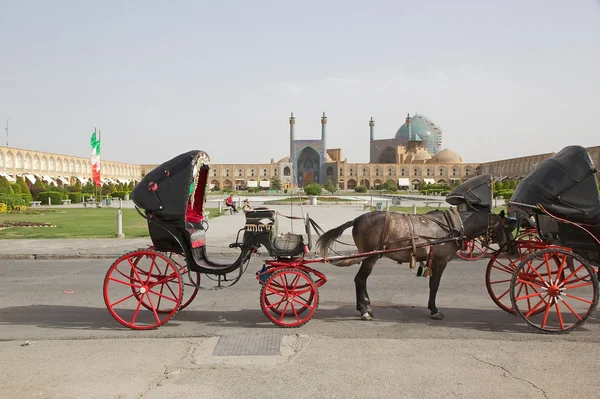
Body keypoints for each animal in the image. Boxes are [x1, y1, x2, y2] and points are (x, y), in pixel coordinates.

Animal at [314, 211, 516, 320]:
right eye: (507, 226)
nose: (513, 247)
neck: (455, 227)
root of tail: (356, 220)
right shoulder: (441, 261)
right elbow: (434, 285)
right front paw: (434, 310)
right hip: (370, 257)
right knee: (360, 279)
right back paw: (364, 310)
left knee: (360, 280)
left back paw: (364, 307)